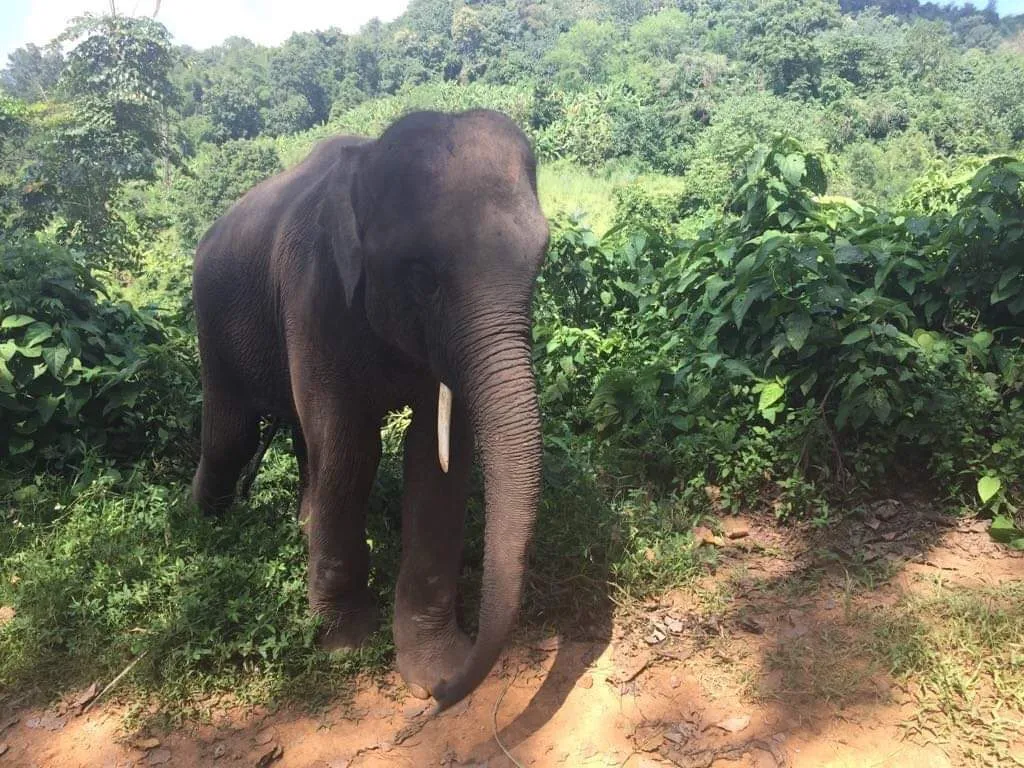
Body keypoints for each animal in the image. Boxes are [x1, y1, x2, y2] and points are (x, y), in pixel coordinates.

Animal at [190, 109, 550, 711]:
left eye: (540, 262)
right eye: (422, 277)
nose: (445, 697)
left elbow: (436, 458)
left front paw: (432, 667)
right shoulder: (313, 297)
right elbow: (350, 446)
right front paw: (343, 645)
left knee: (299, 439)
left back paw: (302, 526)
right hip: (211, 316)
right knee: (232, 434)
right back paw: (200, 529)